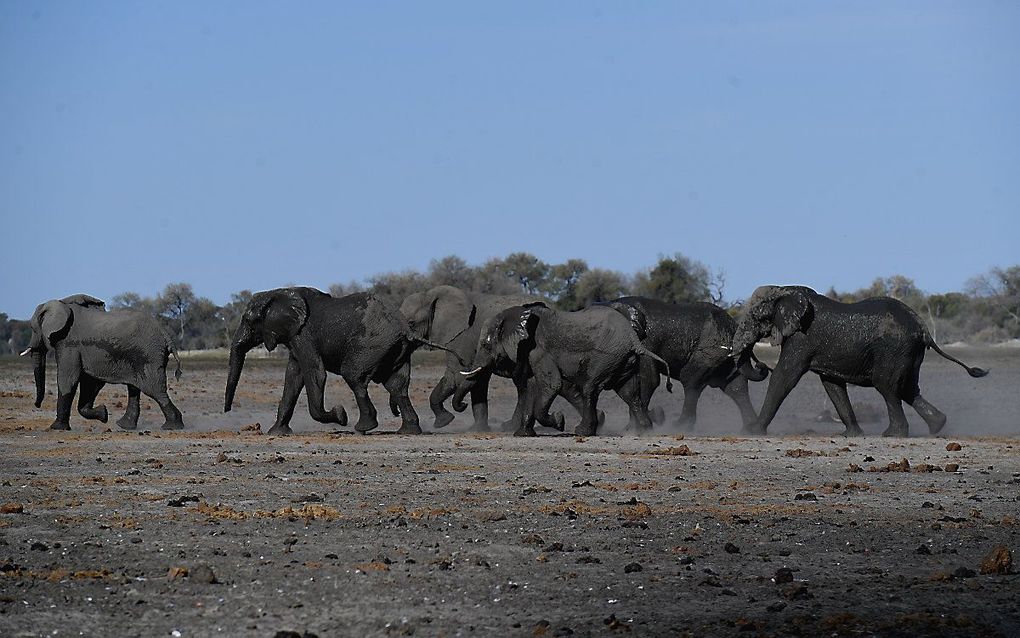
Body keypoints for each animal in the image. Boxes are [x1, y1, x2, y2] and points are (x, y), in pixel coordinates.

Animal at [21, 293, 185, 432]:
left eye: (33, 329)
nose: (37, 405)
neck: (61, 302)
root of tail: (165, 333)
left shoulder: (68, 343)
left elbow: (68, 379)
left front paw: (56, 428)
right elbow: (89, 382)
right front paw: (104, 414)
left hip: (148, 355)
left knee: (154, 389)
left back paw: (172, 426)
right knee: (135, 388)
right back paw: (125, 426)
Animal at [225, 287, 461, 432]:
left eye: (248, 321)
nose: (227, 411)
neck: (278, 292)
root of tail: (405, 329)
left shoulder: (304, 335)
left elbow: (315, 373)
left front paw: (339, 415)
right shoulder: (294, 337)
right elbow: (293, 377)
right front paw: (276, 432)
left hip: (372, 344)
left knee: (355, 377)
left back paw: (363, 427)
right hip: (396, 351)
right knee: (397, 386)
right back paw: (409, 430)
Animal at [397, 285, 542, 430]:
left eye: (411, 323)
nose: (463, 405)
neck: (429, 295)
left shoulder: (461, 337)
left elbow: (456, 375)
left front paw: (444, 421)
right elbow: (478, 380)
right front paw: (479, 429)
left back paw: (510, 427)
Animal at [461, 300, 669, 434]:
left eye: (486, 345)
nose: (463, 406)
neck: (517, 314)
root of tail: (633, 338)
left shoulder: (538, 350)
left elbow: (552, 384)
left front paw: (559, 421)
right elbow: (532, 387)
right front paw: (523, 434)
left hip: (607, 356)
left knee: (591, 388)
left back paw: (582, 431)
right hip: (624, 360)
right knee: (629, 392)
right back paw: (643, 431)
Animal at [734, 285, 987, 434]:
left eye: (757, 316)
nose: (761, 365)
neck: (786, 290)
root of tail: (923, 327)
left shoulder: (801, 338)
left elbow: (784, 376)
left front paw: (752, 431)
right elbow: (832, 385)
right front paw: (851, 435)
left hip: (894, 349)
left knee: (887, 386)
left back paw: (892, 435)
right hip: (910, 353)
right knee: (908, 388)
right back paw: (937, 426)